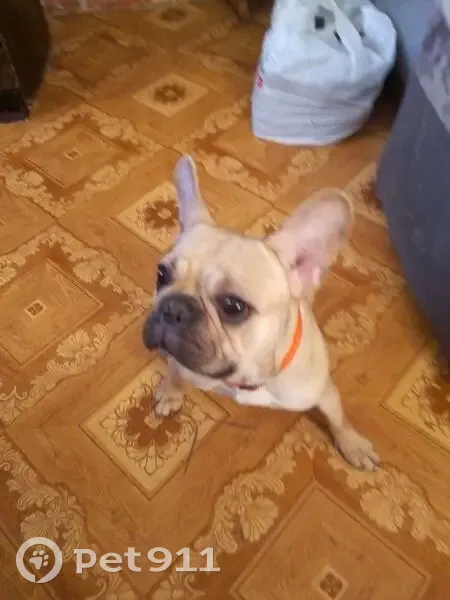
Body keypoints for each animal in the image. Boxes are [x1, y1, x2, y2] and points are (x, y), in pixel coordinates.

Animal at [142, 155, 379, 470]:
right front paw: (171, 390)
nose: (172, 306)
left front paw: (352, 443)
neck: (245, 379)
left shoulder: (322, 391)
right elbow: (176, 370)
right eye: (161, 275)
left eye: (233, 307)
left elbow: (337, 417)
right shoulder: (182, 361)